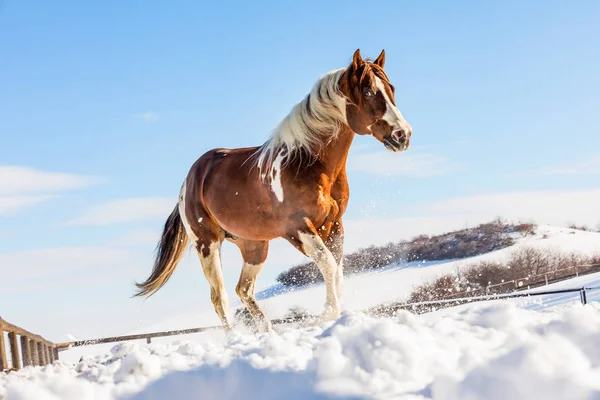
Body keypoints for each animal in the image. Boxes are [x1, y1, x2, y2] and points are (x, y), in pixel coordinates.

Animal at [133, 49, 410, 332]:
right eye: (367, 91)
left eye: (391, 89)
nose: (402, 135)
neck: (306, 161)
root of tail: (188, 182)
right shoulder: (298, 228)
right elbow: (329, 266)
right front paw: (325, 317)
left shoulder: (334, 224)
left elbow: (338, 273)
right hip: (207, 244)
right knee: (219, 296)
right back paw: (236, 337)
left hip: (254, 246)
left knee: (243, 290)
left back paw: (267, 332)